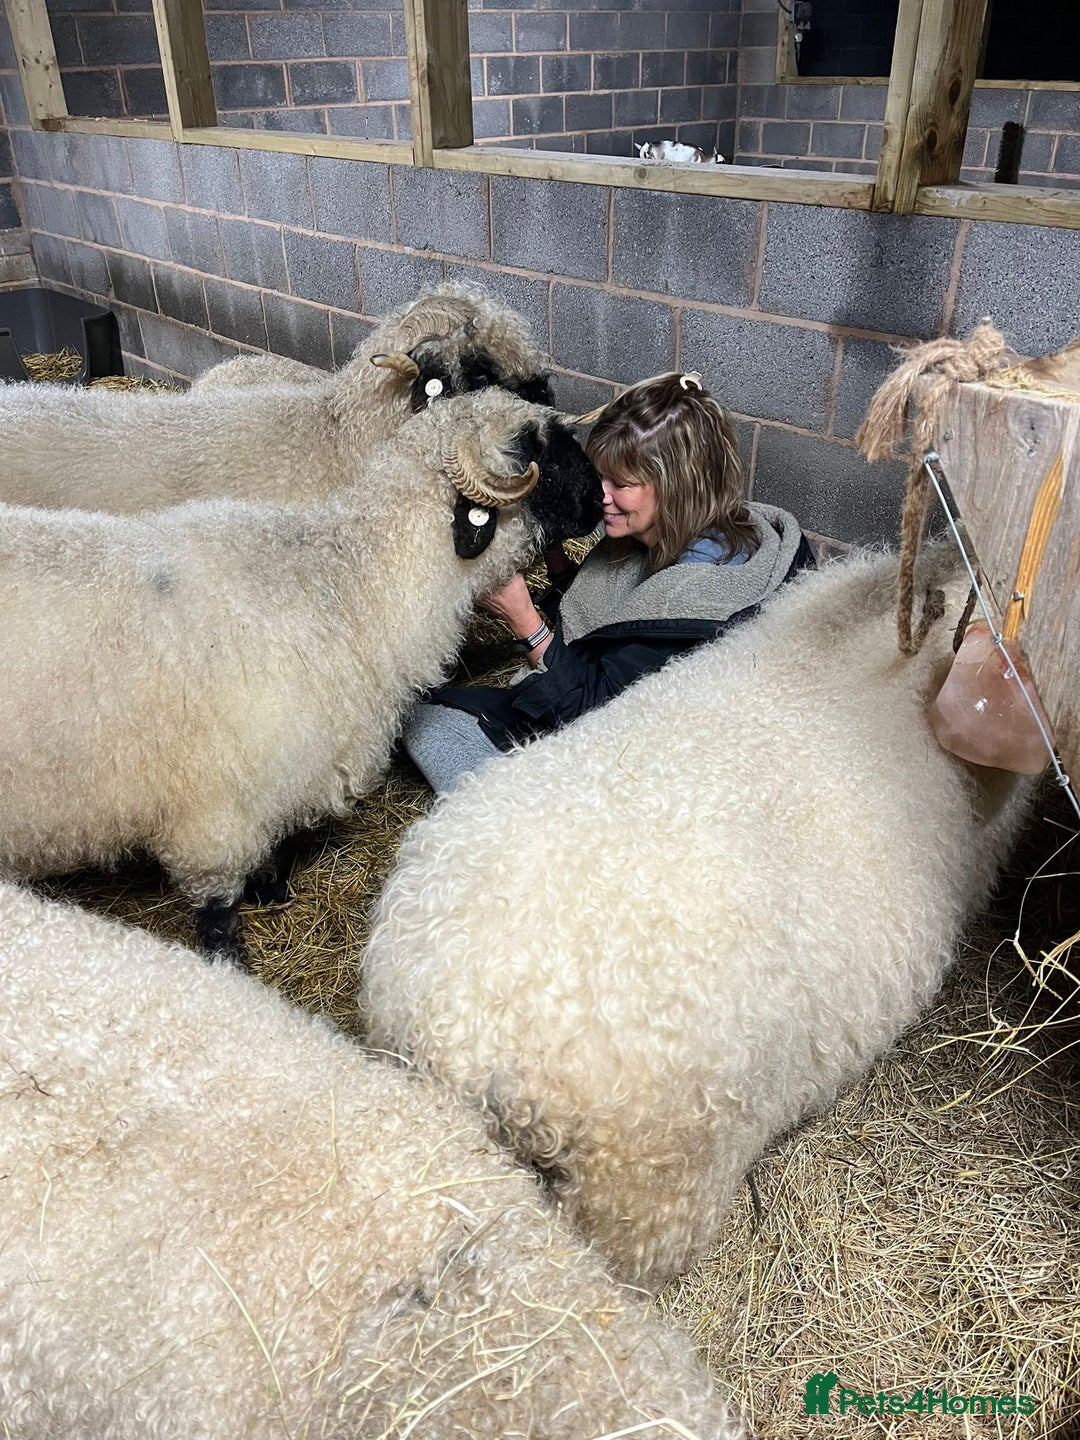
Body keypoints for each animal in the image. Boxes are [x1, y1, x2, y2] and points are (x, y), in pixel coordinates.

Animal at [0, 387, 602, 963]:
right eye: (537, 452)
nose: (600, 501)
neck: (344, 591)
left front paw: (272, 892)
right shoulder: (213, 815)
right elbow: (217, 911)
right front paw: (229, 966)